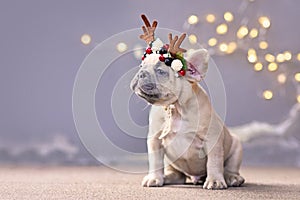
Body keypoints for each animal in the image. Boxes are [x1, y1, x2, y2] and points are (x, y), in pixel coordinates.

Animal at [131, 14, 244, 190]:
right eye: (141, 66)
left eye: (160, 71)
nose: (141, 73)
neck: (176, 108)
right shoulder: (155, 140)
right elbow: (155, 162)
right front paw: (154, 178)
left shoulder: (213, 139)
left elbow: (214, 162)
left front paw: (215, 180)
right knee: (178, 176)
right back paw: (168, 177)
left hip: (236, 146)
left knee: (230, 167)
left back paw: (232, 178)